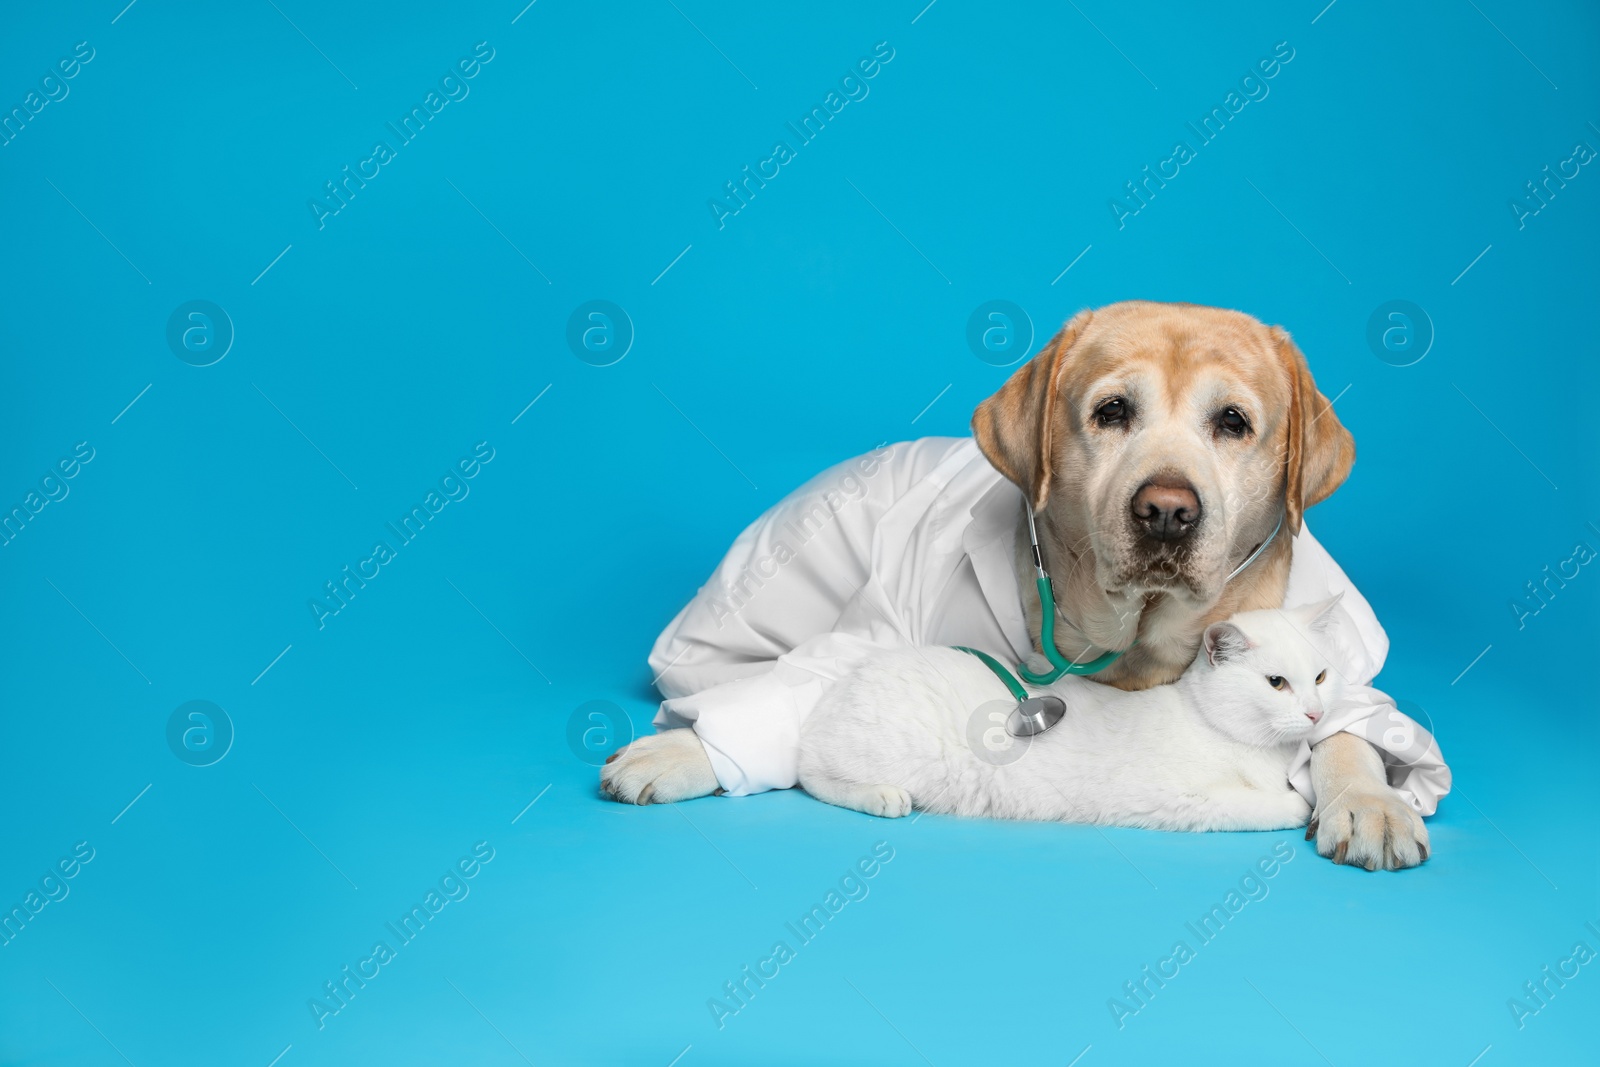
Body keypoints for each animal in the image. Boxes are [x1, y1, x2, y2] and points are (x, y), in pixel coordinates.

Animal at [793, 598, 1344, 831]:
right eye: (1276, 683)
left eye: (1320, 677)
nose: (1315, 715)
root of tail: (846, 681)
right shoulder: (1173, 799)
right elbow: (1269, 806)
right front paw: (1298, 807)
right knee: (812, 776)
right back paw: (881, 797)